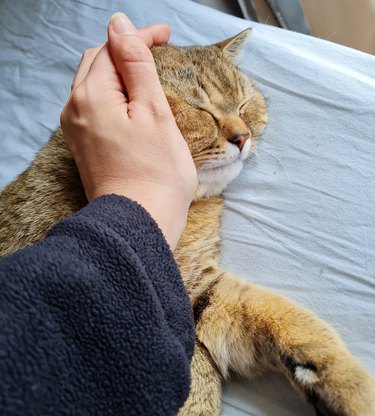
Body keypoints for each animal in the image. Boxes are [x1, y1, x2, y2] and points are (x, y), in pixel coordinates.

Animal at [0, 30, 375, 416]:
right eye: (201, 109)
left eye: (244, 104)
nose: (243, 136)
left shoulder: (201, 292)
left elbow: (288, 320)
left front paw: (348, 385)